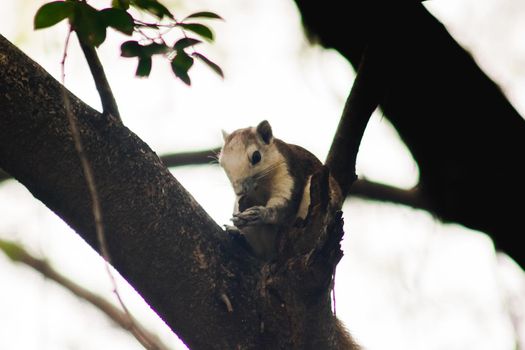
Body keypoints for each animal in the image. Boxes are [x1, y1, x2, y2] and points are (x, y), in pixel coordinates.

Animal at [216, 120, 340, 260]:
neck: (260, 186)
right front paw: (239, 219)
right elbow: (241, 204)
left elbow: (284, 206)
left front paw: (261, 213)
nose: (239, 191)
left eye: (256, 156)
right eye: (221, 163)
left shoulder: (289, 174)